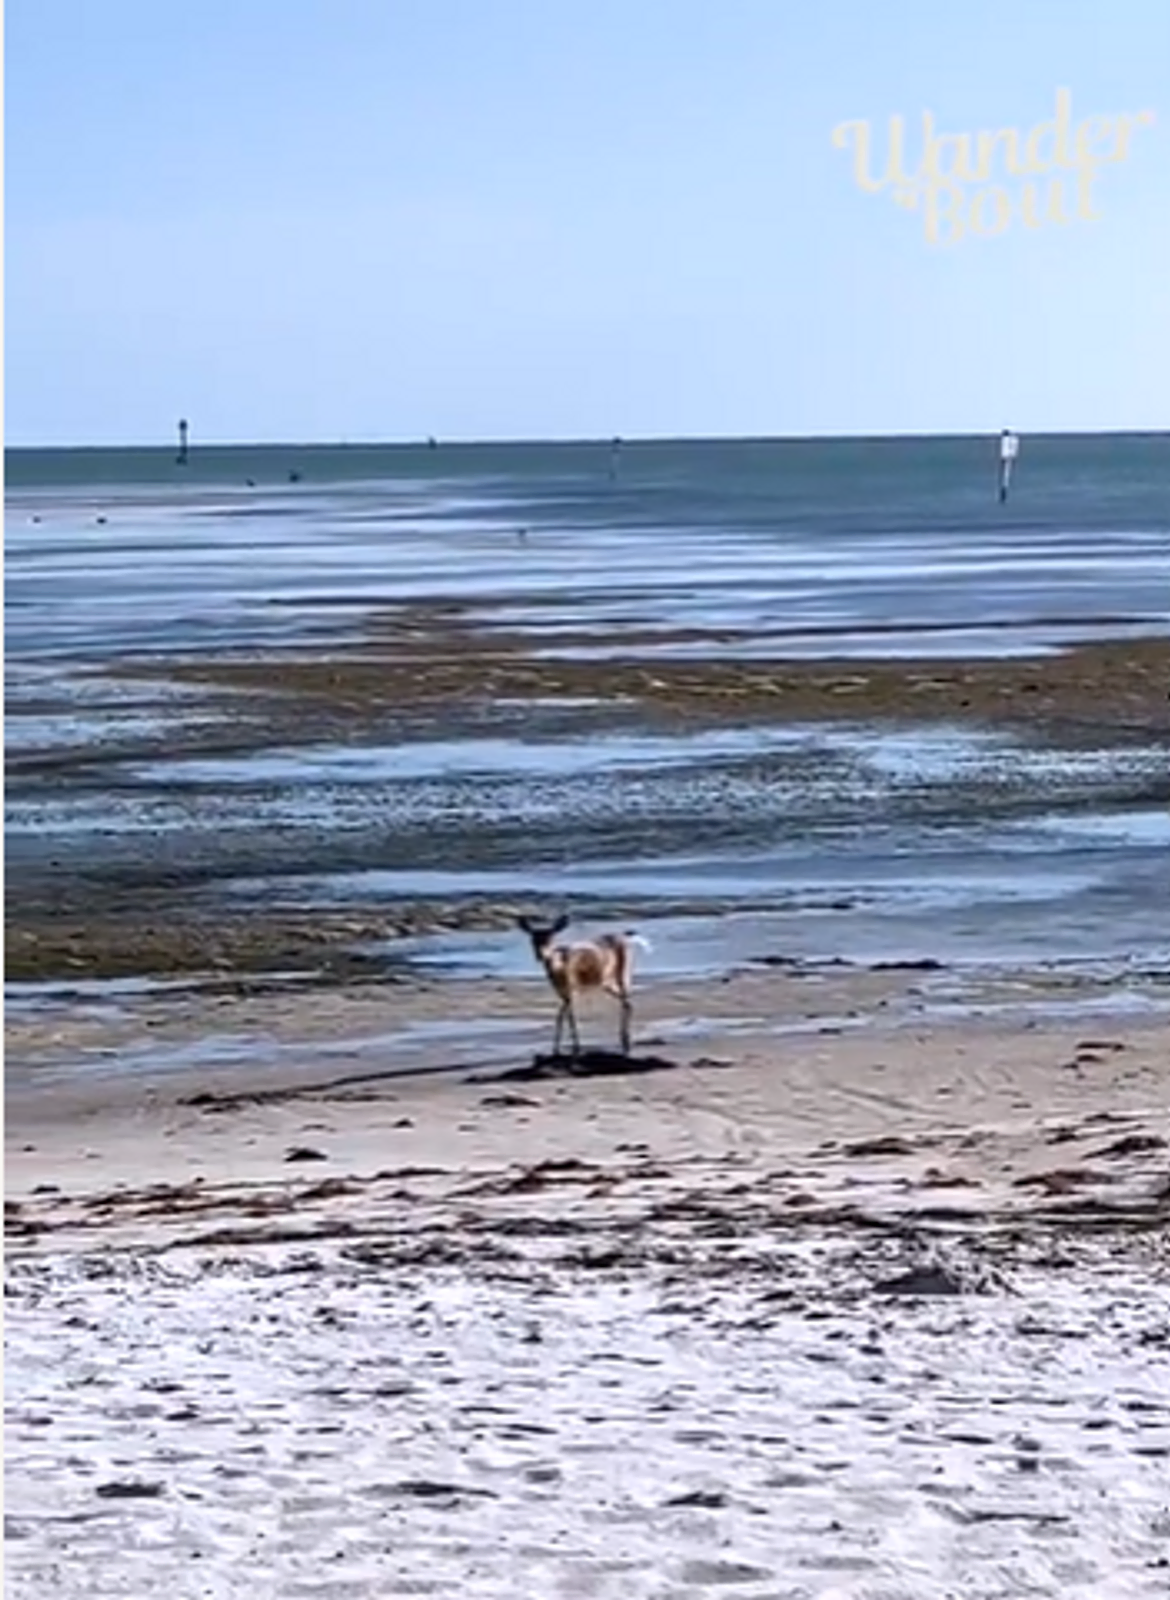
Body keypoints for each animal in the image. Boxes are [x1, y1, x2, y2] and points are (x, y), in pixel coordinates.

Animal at [517, 914, 651, 1057]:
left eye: (551, 939)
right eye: (532, 940)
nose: (541, 955)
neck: (560, 970)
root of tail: (624, 937)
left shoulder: (572, 987)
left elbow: (570, 1017)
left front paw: (576, 1047)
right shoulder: (561, 992)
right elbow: (560, 1016)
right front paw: (555, 1048)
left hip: (624, 971)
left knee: (627, 1000)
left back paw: (626, 1042)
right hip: (605, 981)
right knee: (627, 1002)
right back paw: (624, 1040)